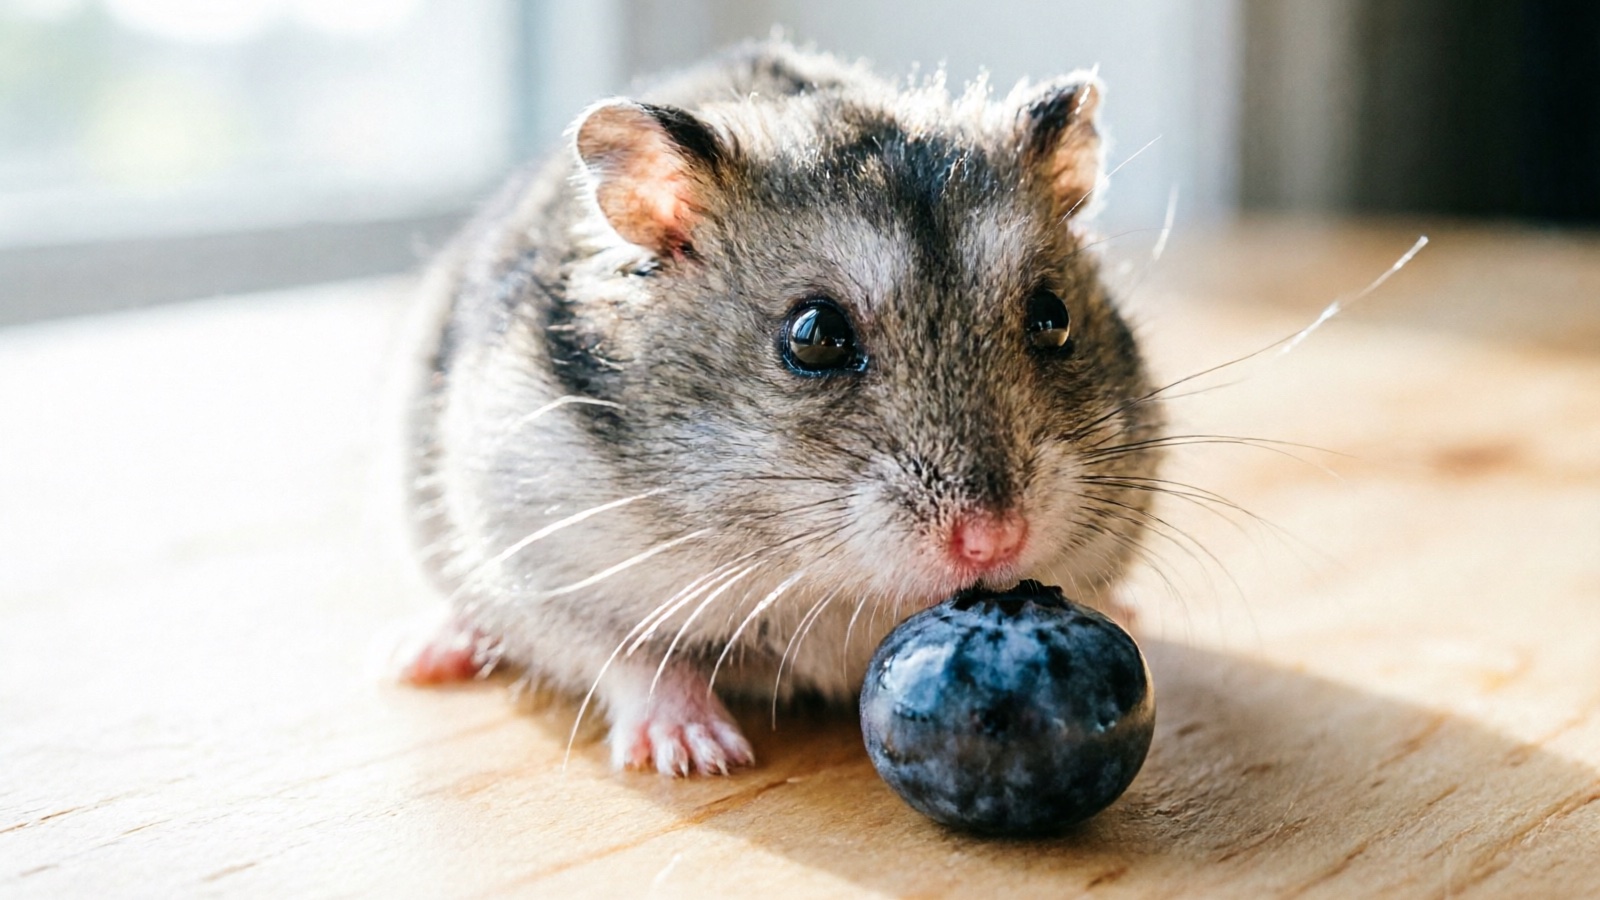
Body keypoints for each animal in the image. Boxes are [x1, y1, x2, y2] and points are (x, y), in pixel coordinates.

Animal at [399, 41, 1163, 776]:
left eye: (1054, 318)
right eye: (815, 335)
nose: (995, 541)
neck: (827, 587)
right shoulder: (535, 567)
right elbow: (629, 657)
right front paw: (701, 756)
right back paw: (428, 656)